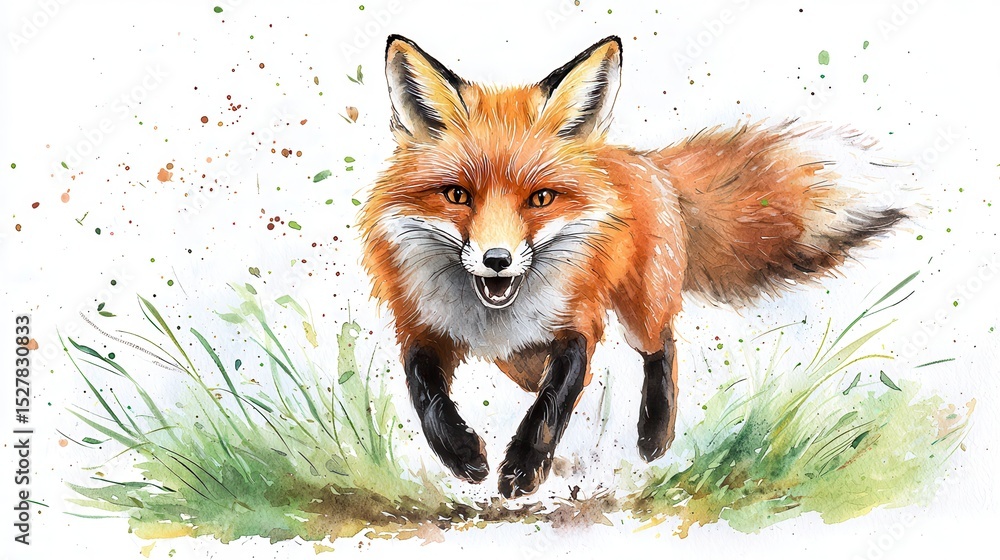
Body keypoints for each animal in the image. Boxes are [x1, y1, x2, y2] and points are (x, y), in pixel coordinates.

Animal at [357, 35, 906, 498]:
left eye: (541, 199)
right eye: (456, 195)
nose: (497, 260)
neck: (494, 318)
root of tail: (641, 160)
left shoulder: (577, 322)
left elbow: (552, 405)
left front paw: (523, 467)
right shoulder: (421, 325)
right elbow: (425, 394)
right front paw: (462, 454)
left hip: (642, 304)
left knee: (660, 346)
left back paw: (654, 433)